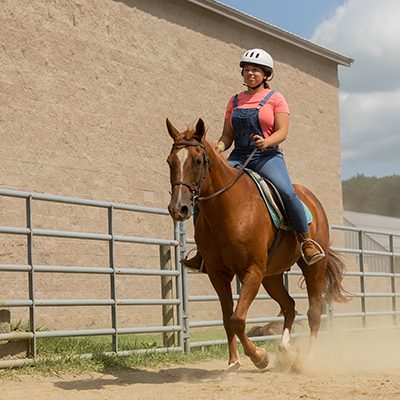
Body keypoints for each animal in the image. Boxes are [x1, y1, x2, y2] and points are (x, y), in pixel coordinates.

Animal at [166, 116, 346, 372]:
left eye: (198, 161)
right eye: (170, 161)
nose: (178, 208)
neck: (230, 210)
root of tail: (312, 200)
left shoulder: (252, 271)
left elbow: (238, 319)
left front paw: (259, 357)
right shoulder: (218, 274)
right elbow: (227, 318)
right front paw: (233, 362)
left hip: (312, 268)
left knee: (314, 311)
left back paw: (307, 359)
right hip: (271, 276)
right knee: (289, 305)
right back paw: (285, 350)